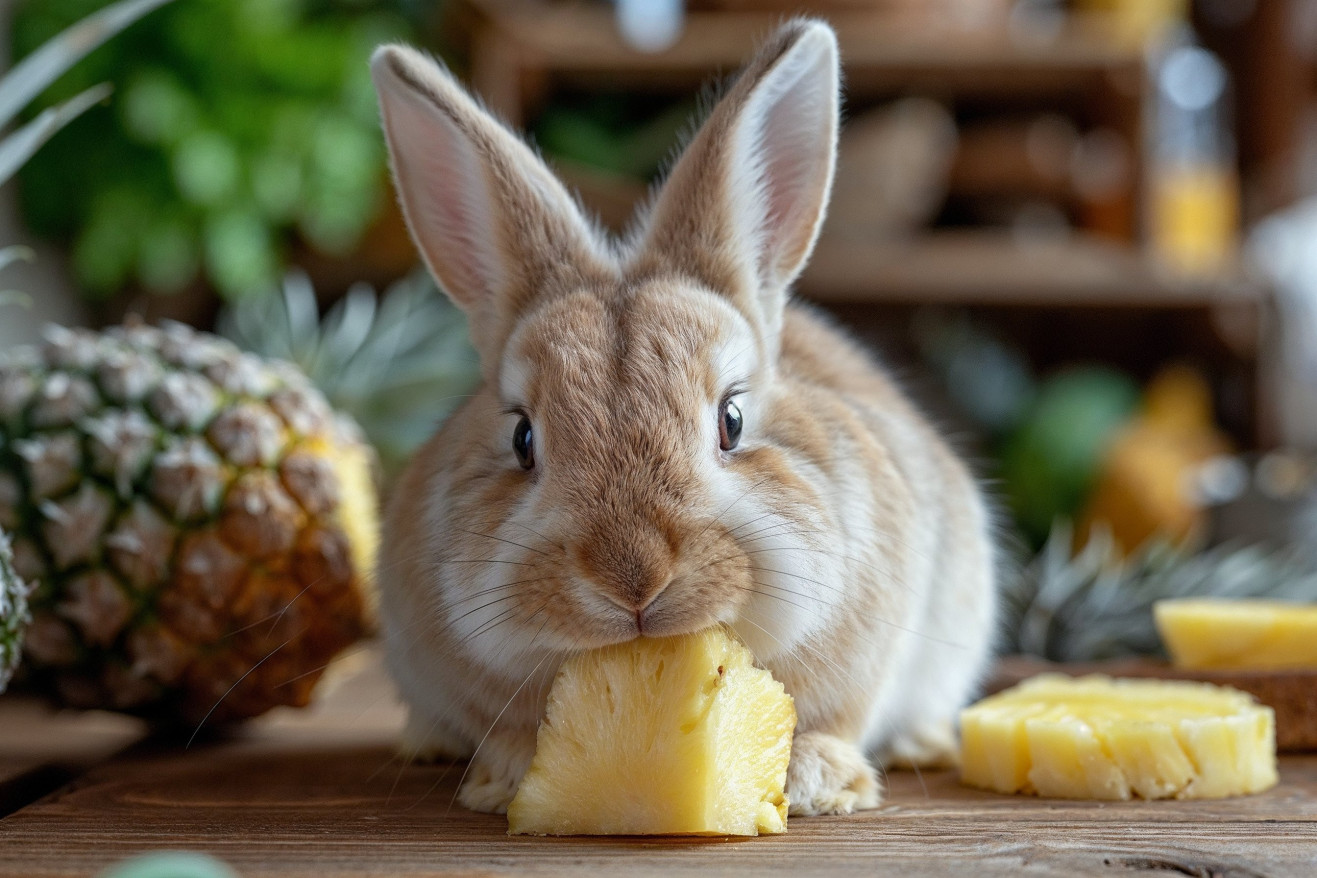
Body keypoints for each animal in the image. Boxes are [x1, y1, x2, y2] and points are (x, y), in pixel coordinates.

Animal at [371, 18, 995, 816]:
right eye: (521, 437)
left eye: (732, 420)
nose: (633, 579)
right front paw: (502, 779)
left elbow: (839, 715)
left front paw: (820, 785)